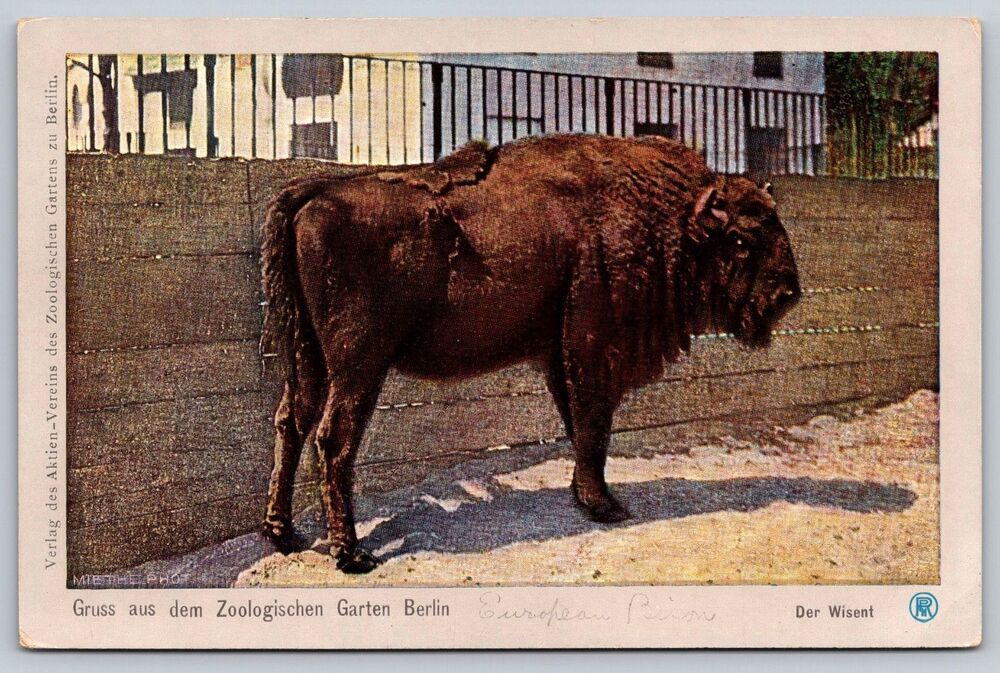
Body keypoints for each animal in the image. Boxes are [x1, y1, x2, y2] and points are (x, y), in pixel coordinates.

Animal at [259, 134, 801, 573]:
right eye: (740, 239)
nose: (788, 293)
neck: (669, 215)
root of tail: (314, 195)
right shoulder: (590, 348)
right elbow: (593, 422)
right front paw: (606, 506)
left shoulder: (558, 354)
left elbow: (580, 426)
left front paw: (587, 496)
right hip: (357, 364)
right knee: (333, 439)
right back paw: (351, 554)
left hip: (308, 358)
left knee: (291, 422)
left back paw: (284, 535)